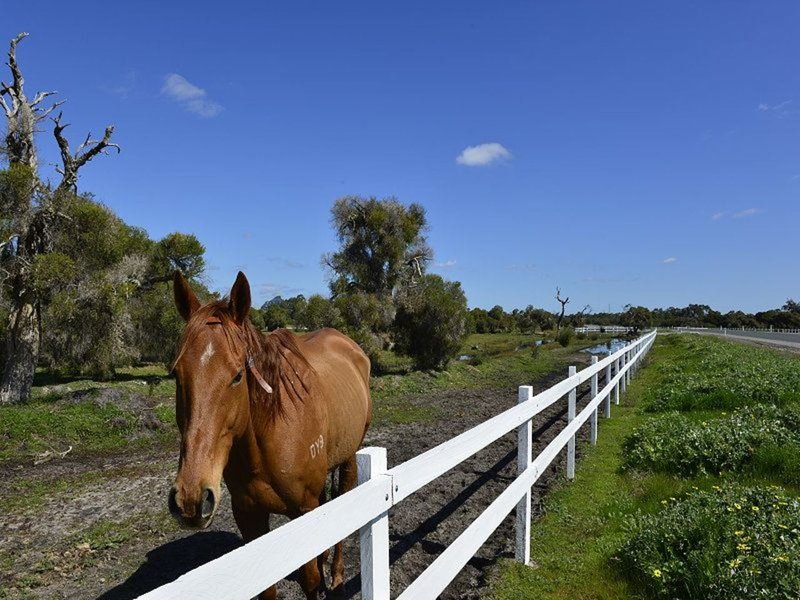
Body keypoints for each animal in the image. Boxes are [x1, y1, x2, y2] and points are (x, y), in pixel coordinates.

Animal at [170, 274, 374, 600]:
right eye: (177, 374)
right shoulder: (248, 515)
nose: (191, 497)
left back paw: (337, 575)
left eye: (237, 376)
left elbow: (310, 580)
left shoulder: (303, 509)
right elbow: (267, 587)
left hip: (349, 458)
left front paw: (322, 578)